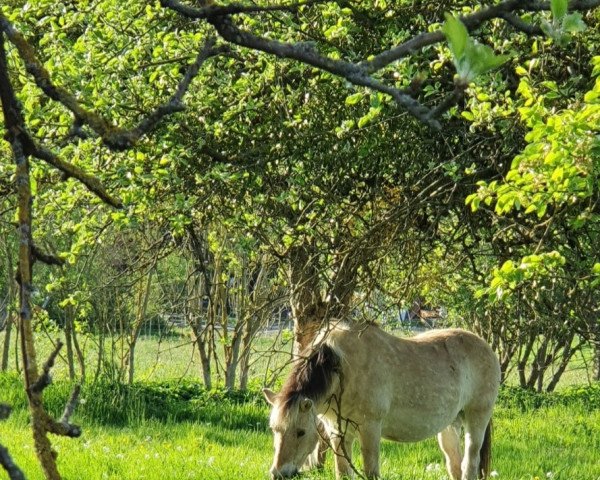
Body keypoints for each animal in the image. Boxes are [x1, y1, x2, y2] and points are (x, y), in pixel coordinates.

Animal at [264, 322, 502, 480]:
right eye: (275, 430)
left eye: (300, 432)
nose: (277, 473)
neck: (343, 368)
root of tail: (486, 348)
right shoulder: (339, 432)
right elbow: (343, 471)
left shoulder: (370, 428)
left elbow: (371, 471)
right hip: (450, 426)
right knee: (455, 465)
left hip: (476, 420)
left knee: (470, 464)